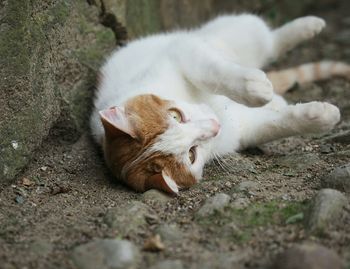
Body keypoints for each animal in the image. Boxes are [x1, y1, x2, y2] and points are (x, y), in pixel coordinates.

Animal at [91, 14, 350, 194]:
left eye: (175, 115)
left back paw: (308, 26)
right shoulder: (242, 130)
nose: (214, 126)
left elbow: (211, 73)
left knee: (268, 40)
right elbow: (276, 125)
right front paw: (321, 116)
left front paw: (254, 89)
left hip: (234, 34)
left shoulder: (182, 53)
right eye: (192, 155)